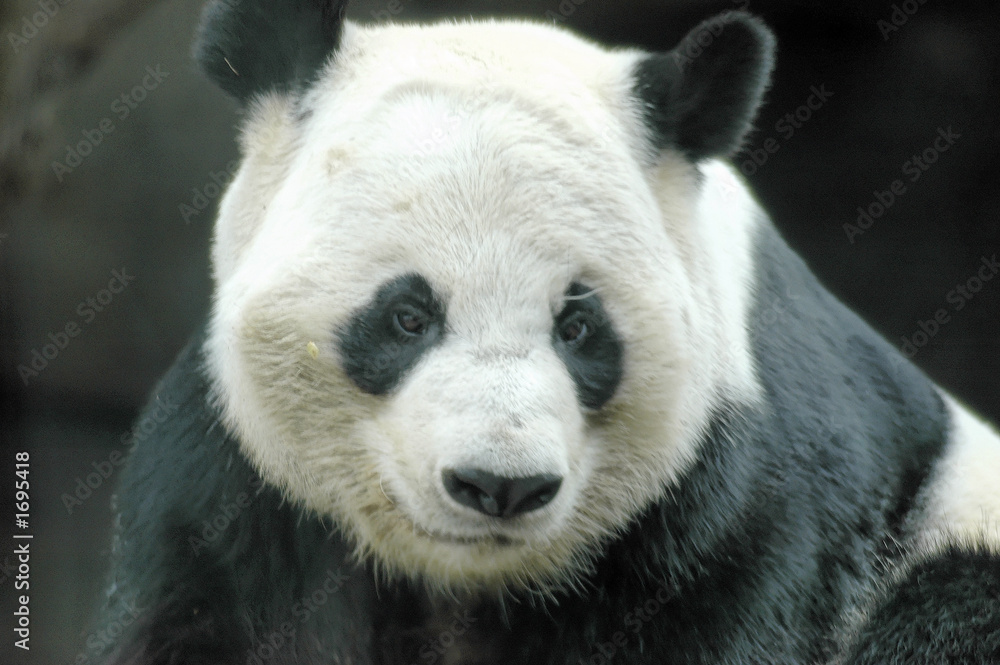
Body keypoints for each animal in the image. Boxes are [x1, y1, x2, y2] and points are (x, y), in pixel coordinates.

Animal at [98, 1, 1000, 663]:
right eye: (408, 315)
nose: (500, 485)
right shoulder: (242, 485)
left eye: (578, 326)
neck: (462, 576)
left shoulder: (740, 504)